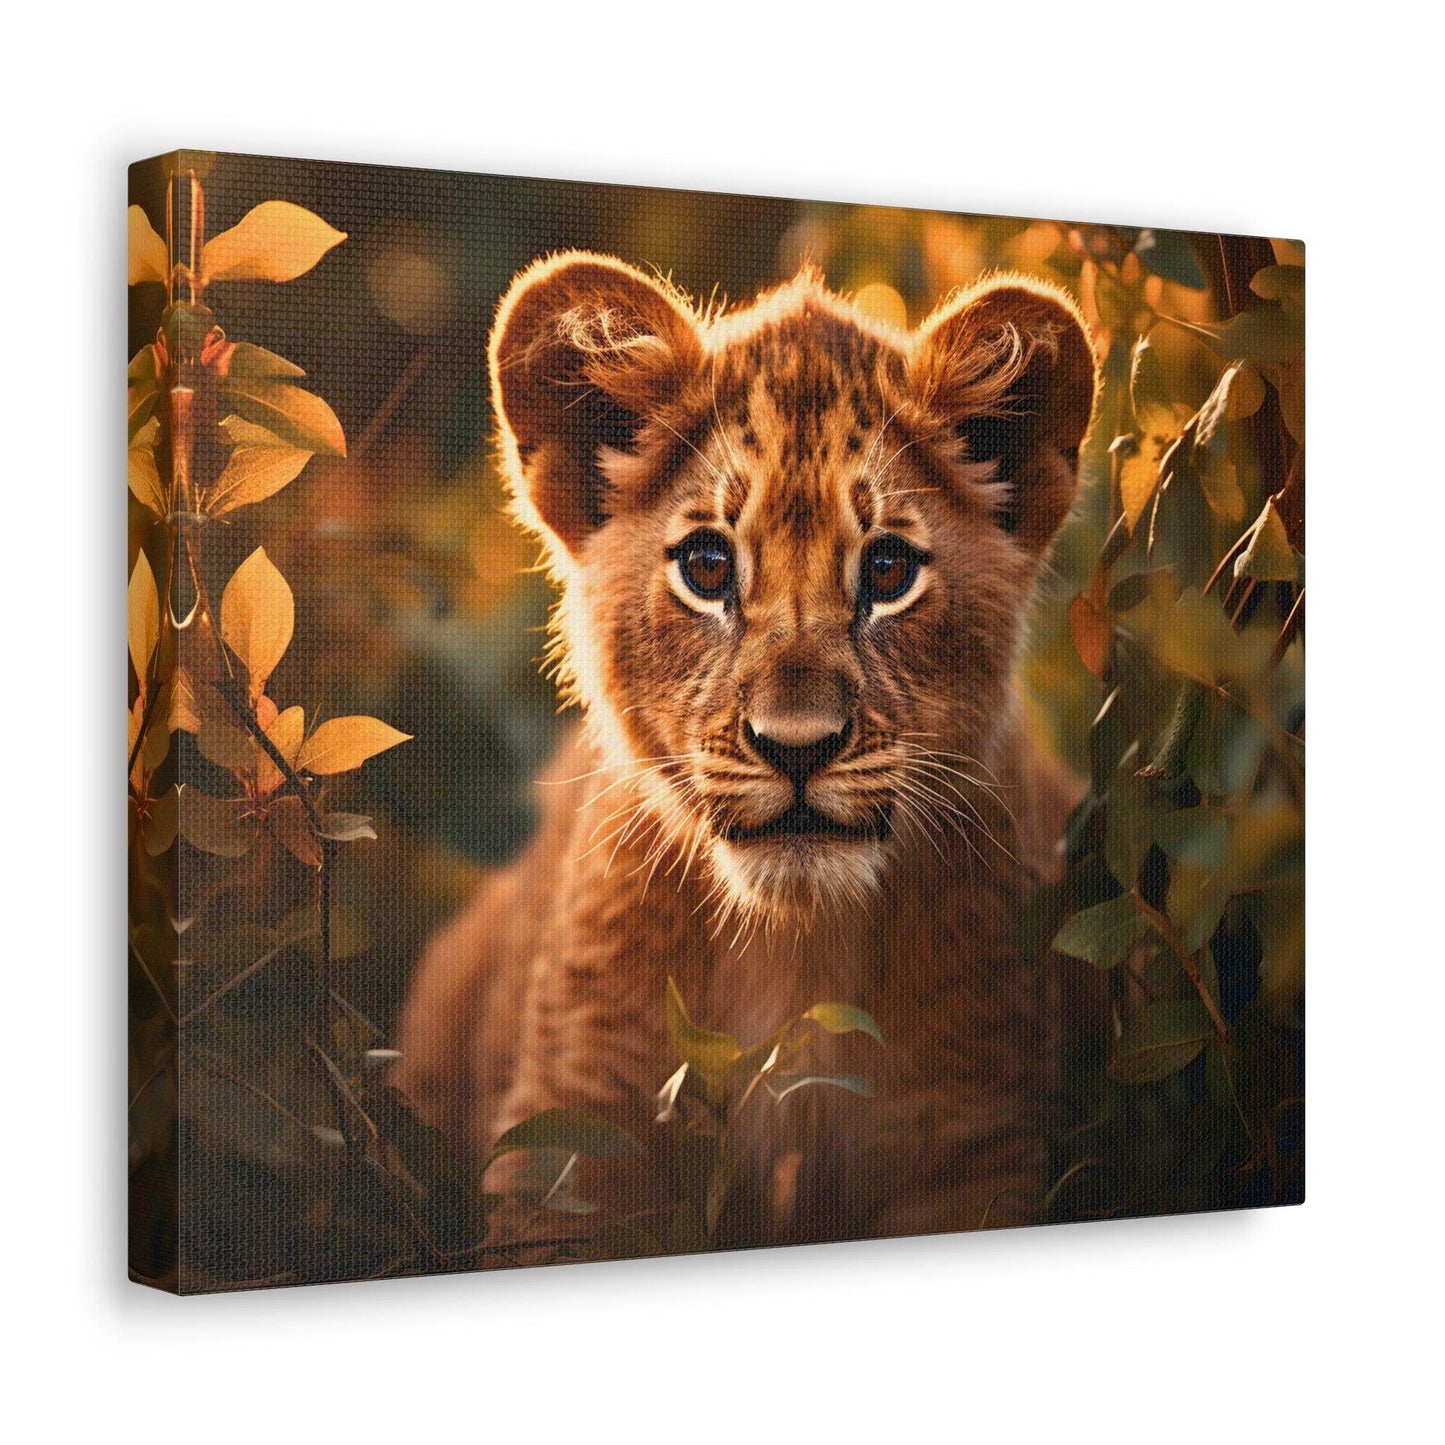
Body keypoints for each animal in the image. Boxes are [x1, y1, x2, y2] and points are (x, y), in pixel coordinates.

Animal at [394, 251, 1102, 1247]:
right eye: (707, 566)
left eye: (887, 569)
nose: (795, 748)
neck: (793, 950)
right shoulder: (572, 1136)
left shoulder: (972, 1140)